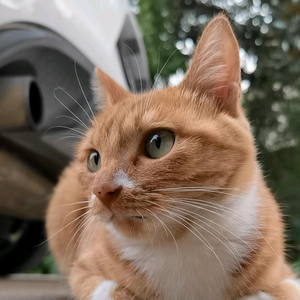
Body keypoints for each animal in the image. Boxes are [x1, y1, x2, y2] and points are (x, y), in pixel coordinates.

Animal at [45, 14, 300, 300]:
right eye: (94, 159)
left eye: (158, 143)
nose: (101, 190)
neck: (180, 244)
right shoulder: (84, 271)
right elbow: (110, 291)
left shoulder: (286, 277)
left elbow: (269, 293)